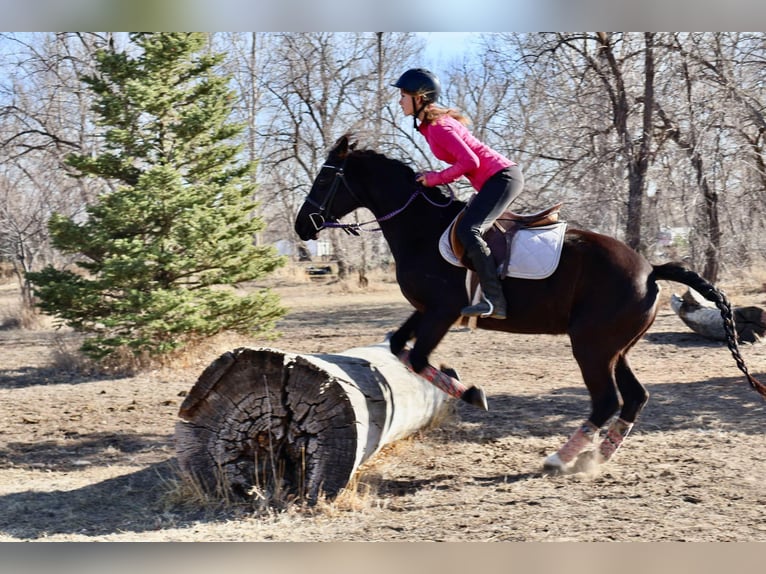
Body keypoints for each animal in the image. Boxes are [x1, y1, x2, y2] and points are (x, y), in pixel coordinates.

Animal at [294, 134, 766, 472]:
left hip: (591, 346)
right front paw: (458, 382)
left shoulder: (443, 312)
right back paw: (595, 458)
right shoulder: (427, 310)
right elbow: (399, 346)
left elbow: (418, 357)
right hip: (616, 348)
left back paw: (561, 458)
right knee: (634, 397)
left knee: (606, 400)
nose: (302, 226)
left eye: (324, 179)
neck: (420, 228)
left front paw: (472, 393)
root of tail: (650, 268)